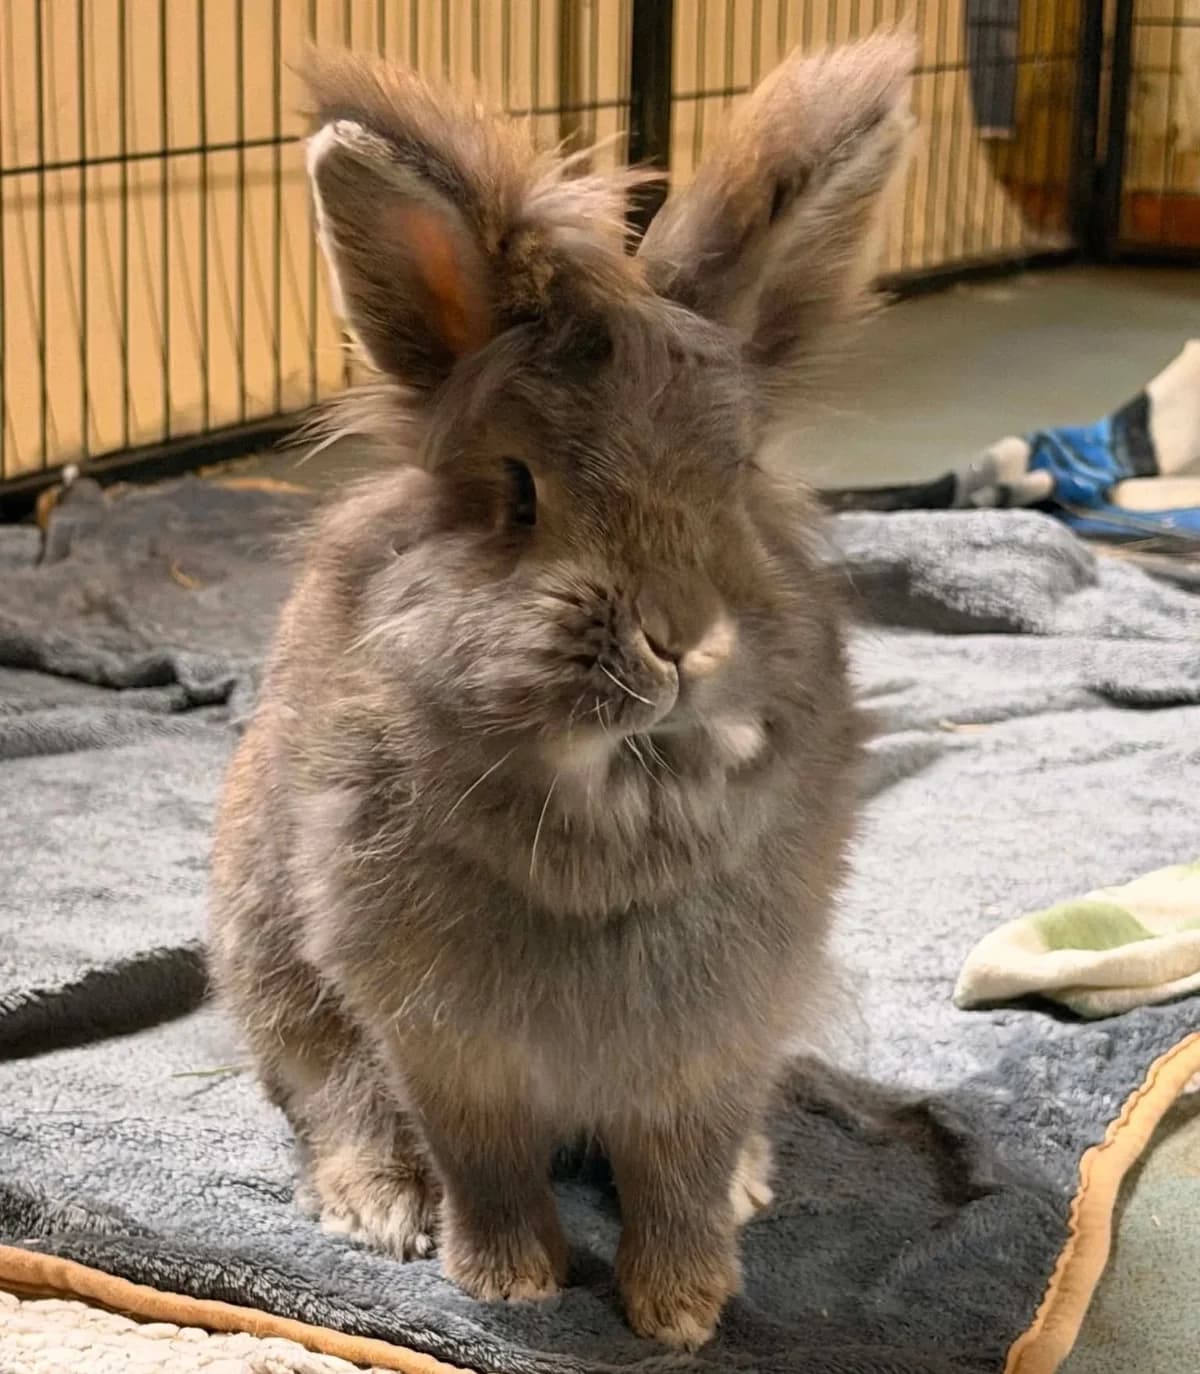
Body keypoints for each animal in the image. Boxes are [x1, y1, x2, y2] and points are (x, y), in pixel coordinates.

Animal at [209, 33, 914, 1350]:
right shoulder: (451, 1049)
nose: (681, 637)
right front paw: (508, 1283)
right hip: (274, 972)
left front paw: (684, 1309)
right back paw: (379, 1206)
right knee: (334, 1098)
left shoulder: (711, 1043)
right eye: (521, 493)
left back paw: (749, 1184)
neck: (622, 805)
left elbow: (679, 1171)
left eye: (740, 478)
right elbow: (485, 1165)